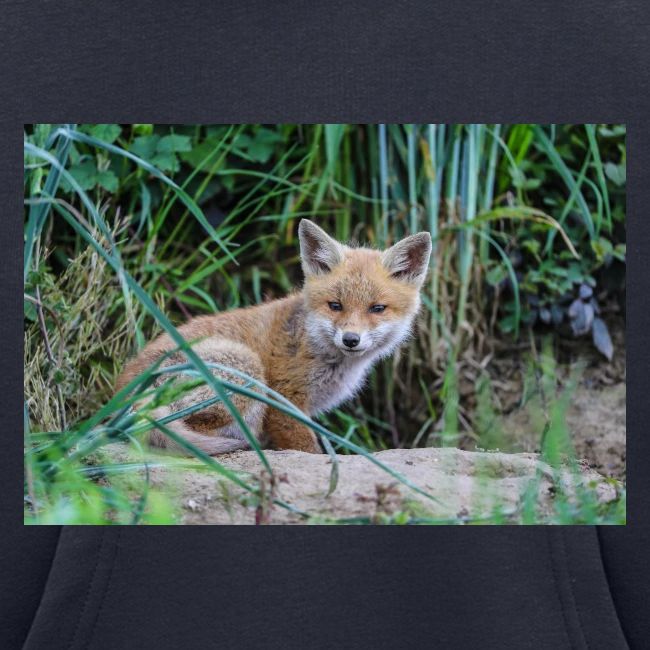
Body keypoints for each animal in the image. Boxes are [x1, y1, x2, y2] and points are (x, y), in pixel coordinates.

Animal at [116, 219, 432, 455]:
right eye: (335, 305)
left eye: (377, 309)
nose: (351, 339)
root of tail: (124, 394)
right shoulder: (284, 400)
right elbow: (307, 449)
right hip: (246, 369)